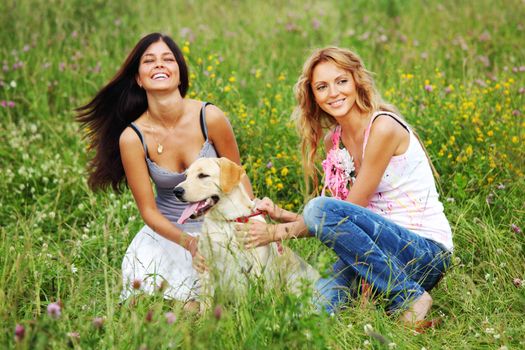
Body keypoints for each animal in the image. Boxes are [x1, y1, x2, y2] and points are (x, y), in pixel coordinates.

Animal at [174, 158, 318, 308]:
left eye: (203, 175)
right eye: (186, 176)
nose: (176, 191)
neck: (227, 220)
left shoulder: (257, 268)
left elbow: (259, 299)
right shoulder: (206, 266)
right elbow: (206, 304)